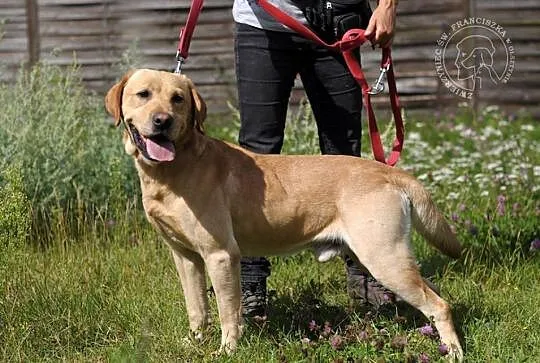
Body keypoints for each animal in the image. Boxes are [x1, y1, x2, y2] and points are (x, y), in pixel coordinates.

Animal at [106, 69, 464, 360]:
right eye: (143, 94)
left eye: (178, 99)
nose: (162, 121)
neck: (174, 169)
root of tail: (390, 172)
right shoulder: (185, 256)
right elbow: (196, 307)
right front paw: (195, 342)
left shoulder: (220, 255)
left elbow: (227, 310)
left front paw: (227, 349)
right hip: (390, 257)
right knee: (434, 293)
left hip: (384, 257)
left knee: (440, 305)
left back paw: (453, 351)